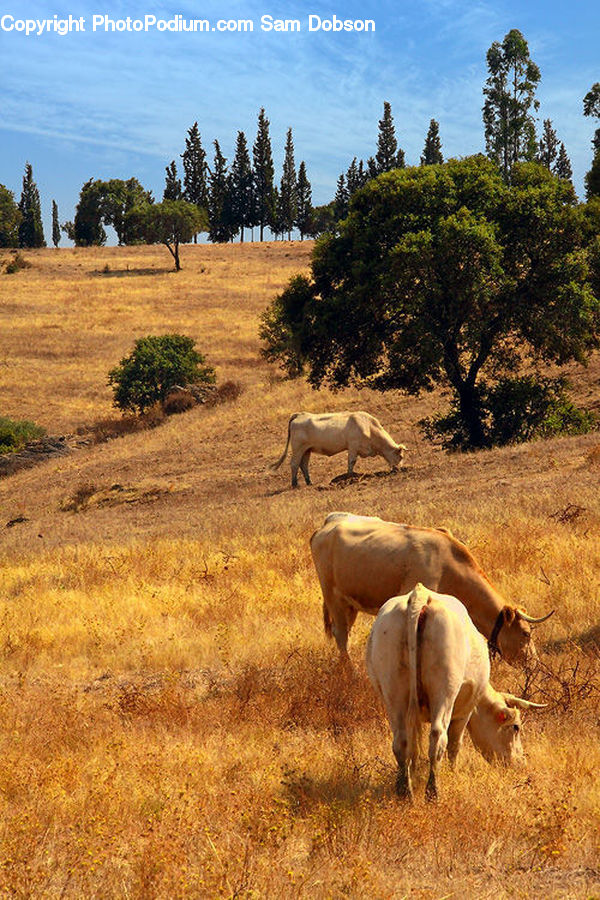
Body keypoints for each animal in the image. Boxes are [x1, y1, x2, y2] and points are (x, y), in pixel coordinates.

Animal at [272, 412, 406, 487]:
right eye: (400, 456)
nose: (399, 469)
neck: (369, 427)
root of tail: (300, 414)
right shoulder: (353, 446)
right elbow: (351, 462)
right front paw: (350, 477)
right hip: (298, 448)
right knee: (294, 463)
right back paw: (294, 484)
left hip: (306, 450)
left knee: (303, 465)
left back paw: (309, 482)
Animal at [310, 512, 553, 664]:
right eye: (525, 634)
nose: (534, 664)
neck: (448, 565)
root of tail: (326, 525)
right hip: (333, 597)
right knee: (341, 634)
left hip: (350, 604)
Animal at [366, 584, 545, 800]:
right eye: (516, 727)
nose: (520, 763)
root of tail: (420, 596)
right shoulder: (465, 710)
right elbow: (454, 744)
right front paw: (452, 772)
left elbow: (414, 746)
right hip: (445, 691)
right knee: (438, 737)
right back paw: (433, 792)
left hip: (394, 691)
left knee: (402, 740)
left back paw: (404, 791)